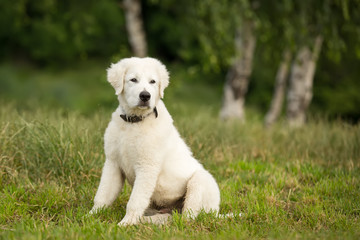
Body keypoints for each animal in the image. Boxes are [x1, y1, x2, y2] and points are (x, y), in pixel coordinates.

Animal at [89, 57, 219, 226]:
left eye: (152, 81)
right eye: (133, 80)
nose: (145, 96)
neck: (134, 122)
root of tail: (216, 212)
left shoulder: (147, 167)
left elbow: (135, 200)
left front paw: (125, 224)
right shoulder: (113, 163)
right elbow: (103, 194)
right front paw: (90, 216)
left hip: (199, 182)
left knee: (187, 217)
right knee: (167, 216)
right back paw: (147, 221)